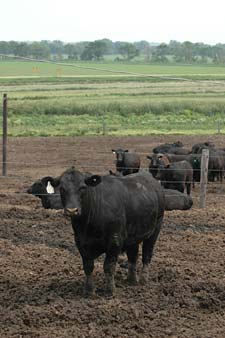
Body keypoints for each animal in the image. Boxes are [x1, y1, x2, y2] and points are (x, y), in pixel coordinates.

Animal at [49, 168, 164, 296]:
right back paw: (131, 280)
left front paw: (110, 290)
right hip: (133, 235)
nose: (72, 210)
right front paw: (89, 290)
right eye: (62, 188)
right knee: (133, 256)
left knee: (147, 254)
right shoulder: (81, 242)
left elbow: (108, 266)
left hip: (155, 229)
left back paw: (143, 280)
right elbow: (88, 266)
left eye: (83, 187)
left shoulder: (115, 241)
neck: (87, 226)